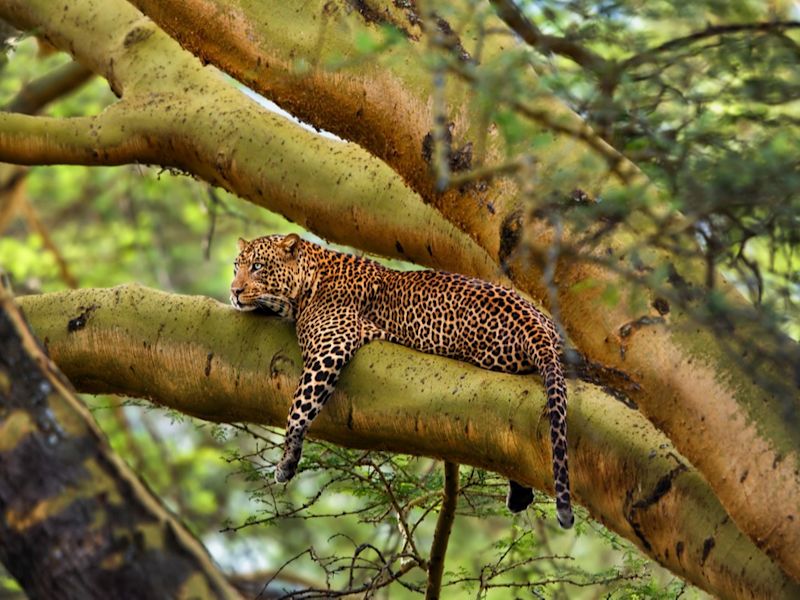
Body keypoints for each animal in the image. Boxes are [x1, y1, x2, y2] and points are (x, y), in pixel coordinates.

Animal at [231, 232, 576, 528]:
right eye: (236, 267)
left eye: (257, 267)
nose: (234, 291)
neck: (309, 283)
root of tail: (535, 323)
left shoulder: (331, 345)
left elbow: (299, 406)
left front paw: (286, 461)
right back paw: (519, 494)